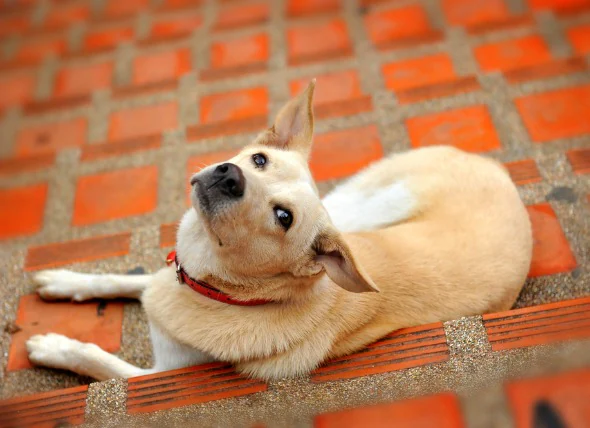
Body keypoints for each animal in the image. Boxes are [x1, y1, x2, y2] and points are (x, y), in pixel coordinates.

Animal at [25, 80, 536, 382]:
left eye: (283, 217)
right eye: (259, 159)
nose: (230, 176)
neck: (220, 291)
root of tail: (493, 165)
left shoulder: (159, 374)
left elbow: (101, 361)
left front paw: (54, 346)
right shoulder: (167, 274)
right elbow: (119, 279)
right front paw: (66, 280)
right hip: (356, 205)